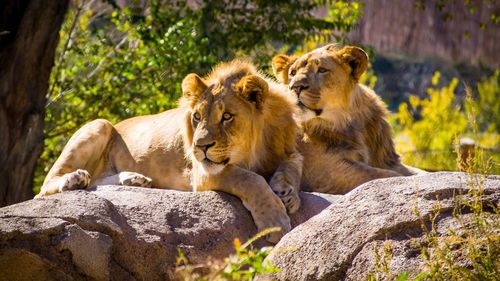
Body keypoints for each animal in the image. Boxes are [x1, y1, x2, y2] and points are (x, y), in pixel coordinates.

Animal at [37, 58, 302, 241]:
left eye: (227, 116)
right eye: (197, 117)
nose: (200, 147)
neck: (257, 145)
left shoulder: (289, 150)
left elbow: (292, 166)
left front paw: (287, 193)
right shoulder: (203, 174)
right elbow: (250, 179)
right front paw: (274, 220)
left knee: (98, 180)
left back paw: (134, 179)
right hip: (100, 124)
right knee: (45, 187)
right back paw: (74, 179)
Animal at [270, 43, 422, 194]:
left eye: (322, 70)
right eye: (292, 73)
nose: (295, 87)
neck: (348, 122)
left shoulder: (388, 160)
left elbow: (417, 173)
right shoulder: (323, 171)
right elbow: (386, 176)